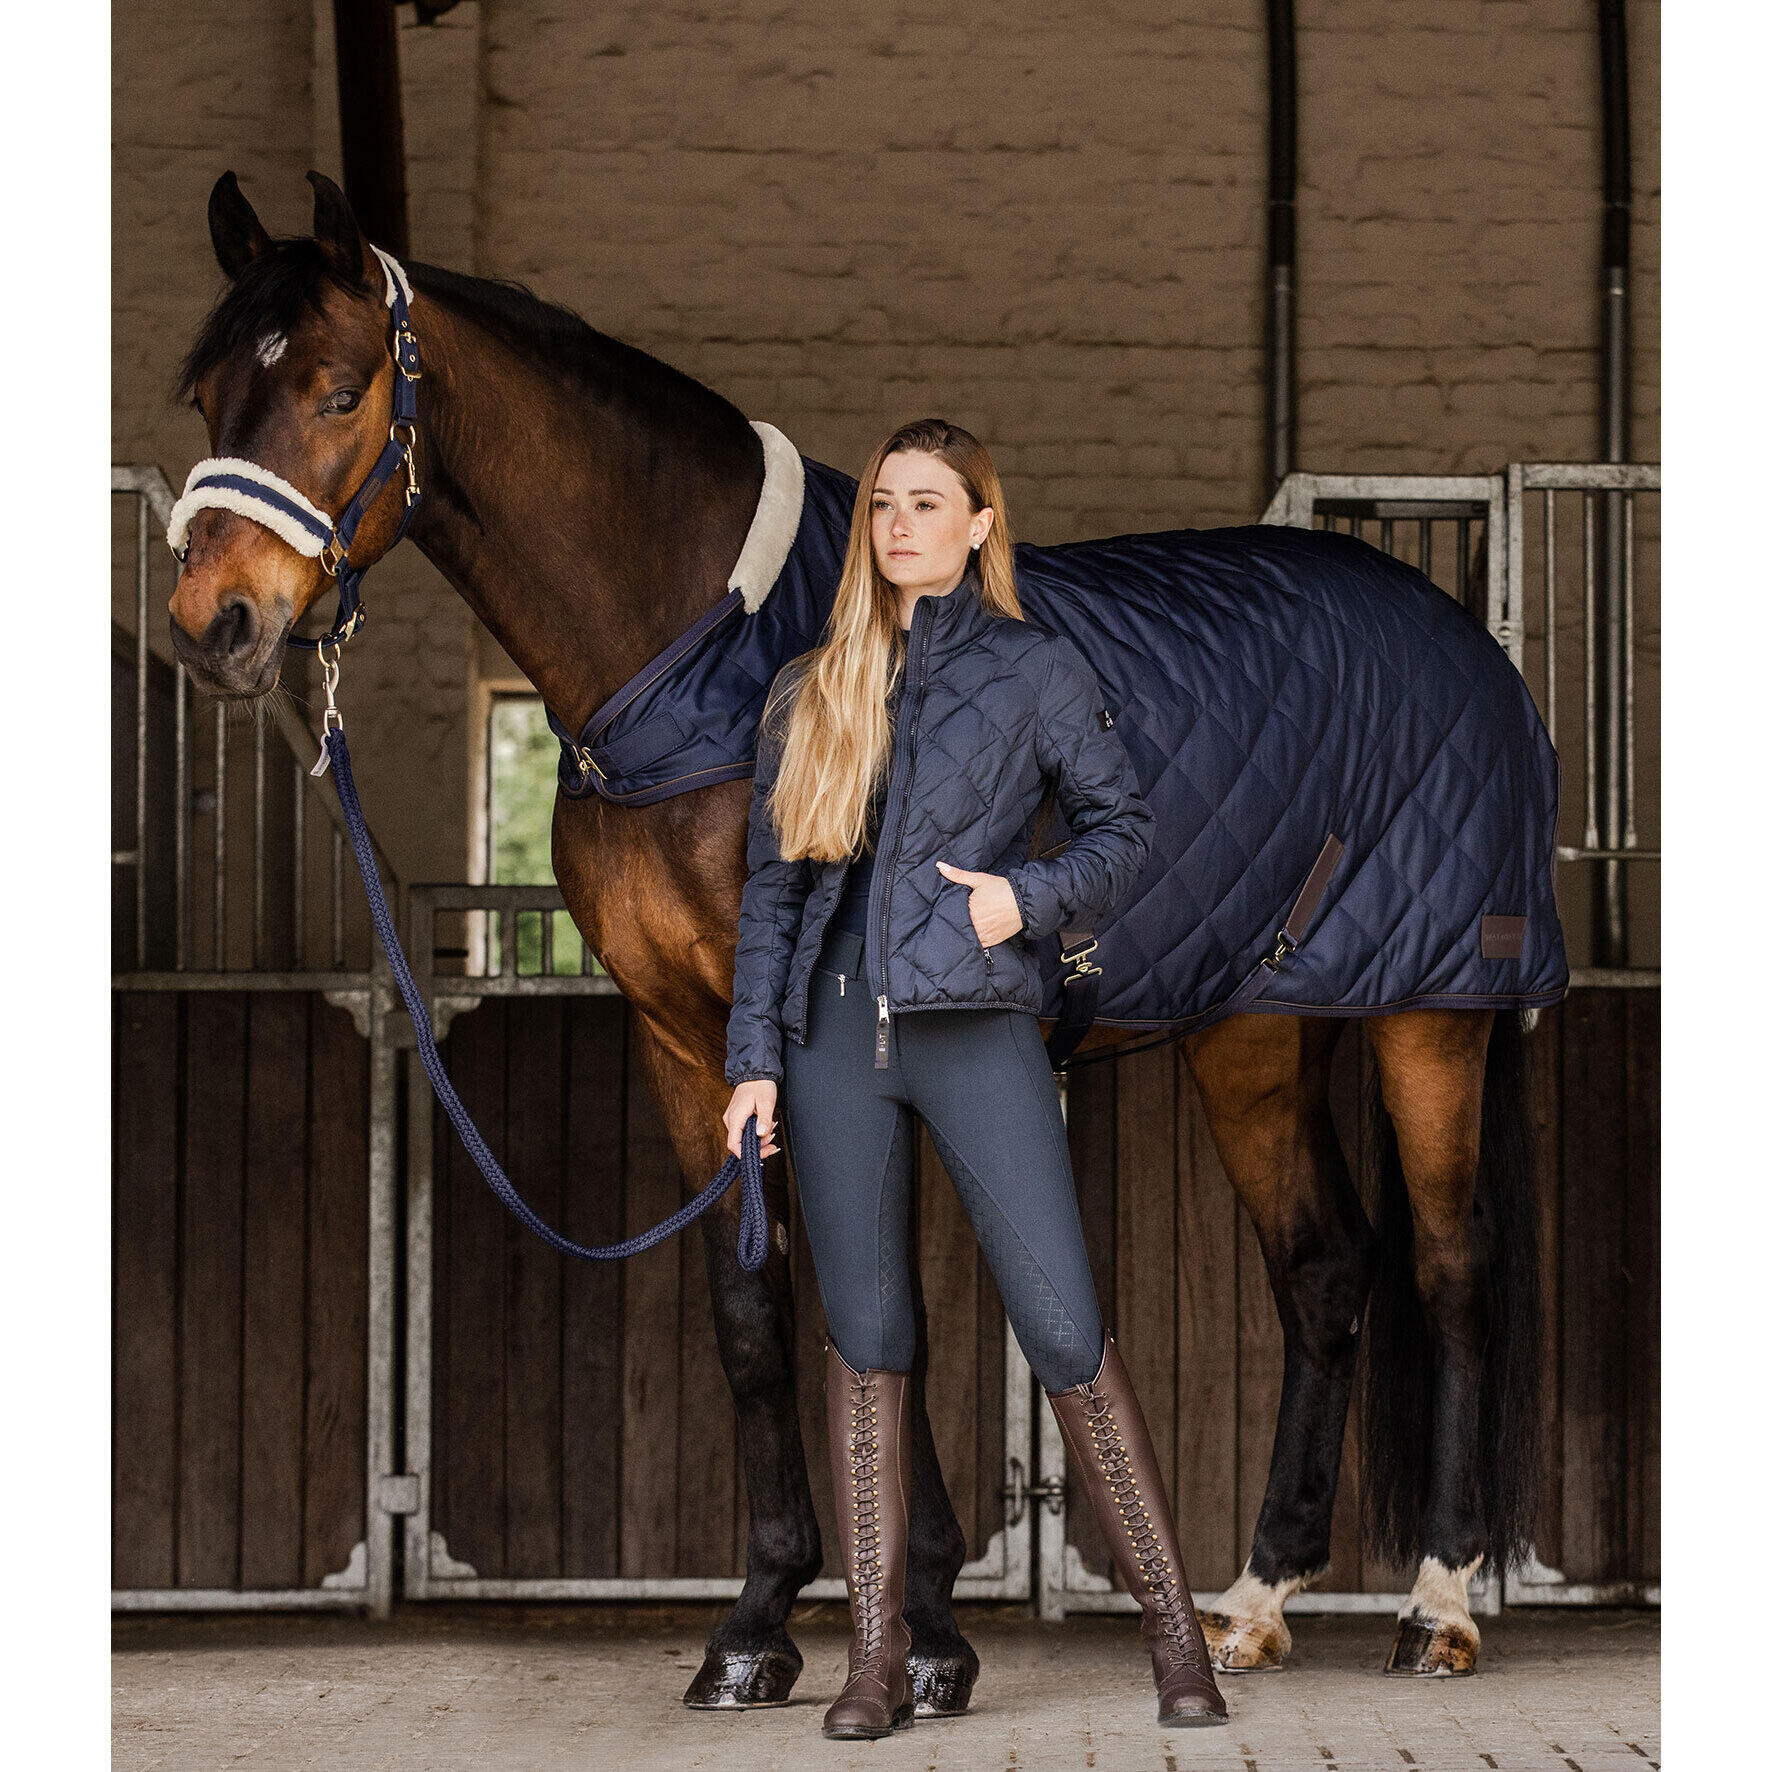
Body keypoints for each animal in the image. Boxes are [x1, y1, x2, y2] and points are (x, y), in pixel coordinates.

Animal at [166, 170, 1547, 1696]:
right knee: (1322, 1268)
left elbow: (884, 1301)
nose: (212, 623)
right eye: (205, 393)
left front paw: (928, 1622)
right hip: (1254, 1030)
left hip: (1431, 1014)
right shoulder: (687, 1040)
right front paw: (759, 1622)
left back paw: (1435, 1604)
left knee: (1451, 1268)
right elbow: (757, 1314)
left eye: (341, 388)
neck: (705, 652)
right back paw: (1255, 1598)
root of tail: (1464, 641)